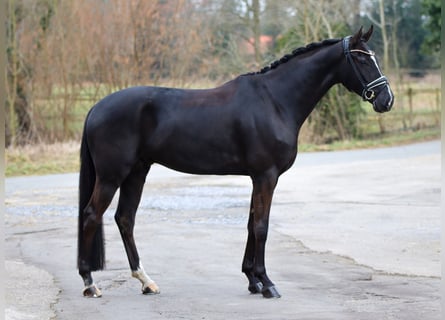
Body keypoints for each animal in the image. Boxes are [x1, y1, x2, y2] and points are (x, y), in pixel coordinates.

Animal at [76, 26, 392, 298]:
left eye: (374, 57)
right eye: (361, 59)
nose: (386, 100)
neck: (275, 101)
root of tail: (95, 108)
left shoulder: (257, 177)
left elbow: (252, 224)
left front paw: (253, 280)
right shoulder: (266, 176)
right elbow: (262, 227)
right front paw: (267, 284)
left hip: (136, 173)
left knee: (125, 219)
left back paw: (146, 281)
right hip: (112, 176)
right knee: (91, 215)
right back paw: (90, 283)